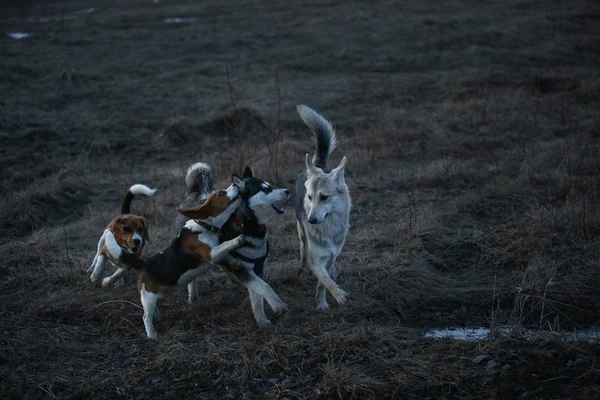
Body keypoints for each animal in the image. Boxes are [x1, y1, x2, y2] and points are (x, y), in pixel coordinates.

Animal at [103, 178, 246, 338]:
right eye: (221, 193)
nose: (235, 184)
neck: (204, 226)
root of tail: (144, 264)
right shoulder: (210, 254)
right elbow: (226, 245)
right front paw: (238, 239)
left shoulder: (215, 254)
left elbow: (226, 257)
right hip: (148, 296)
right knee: (145, 317)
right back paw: (152, 335)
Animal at [176, 162, 290, 324]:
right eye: (266, 189)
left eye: (270, 185)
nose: (287, 191)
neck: (248, 225)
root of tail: (195, 194)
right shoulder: (242, 269)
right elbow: (265, 287)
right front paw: (277, 305)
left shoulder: (256, 267)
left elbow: (257, 295)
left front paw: (262, 321)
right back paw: (193, 297)